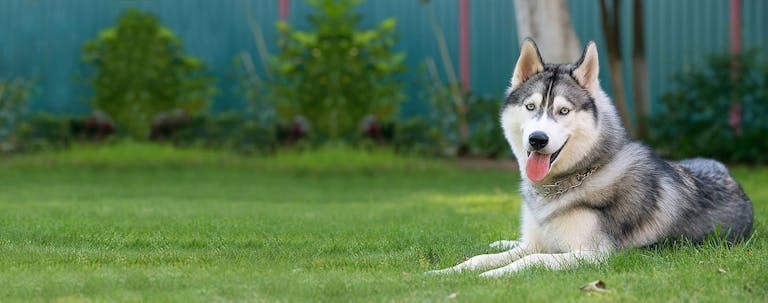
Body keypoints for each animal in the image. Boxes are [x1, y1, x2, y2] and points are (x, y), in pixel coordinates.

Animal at [428, 39, 752, 278]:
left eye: (563, 111)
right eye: (531, 106)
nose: (537, 139)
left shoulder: (594, 255)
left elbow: (533, 260)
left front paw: (491, 276)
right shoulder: (535, 242)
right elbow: (480, 258)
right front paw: (447, 272)